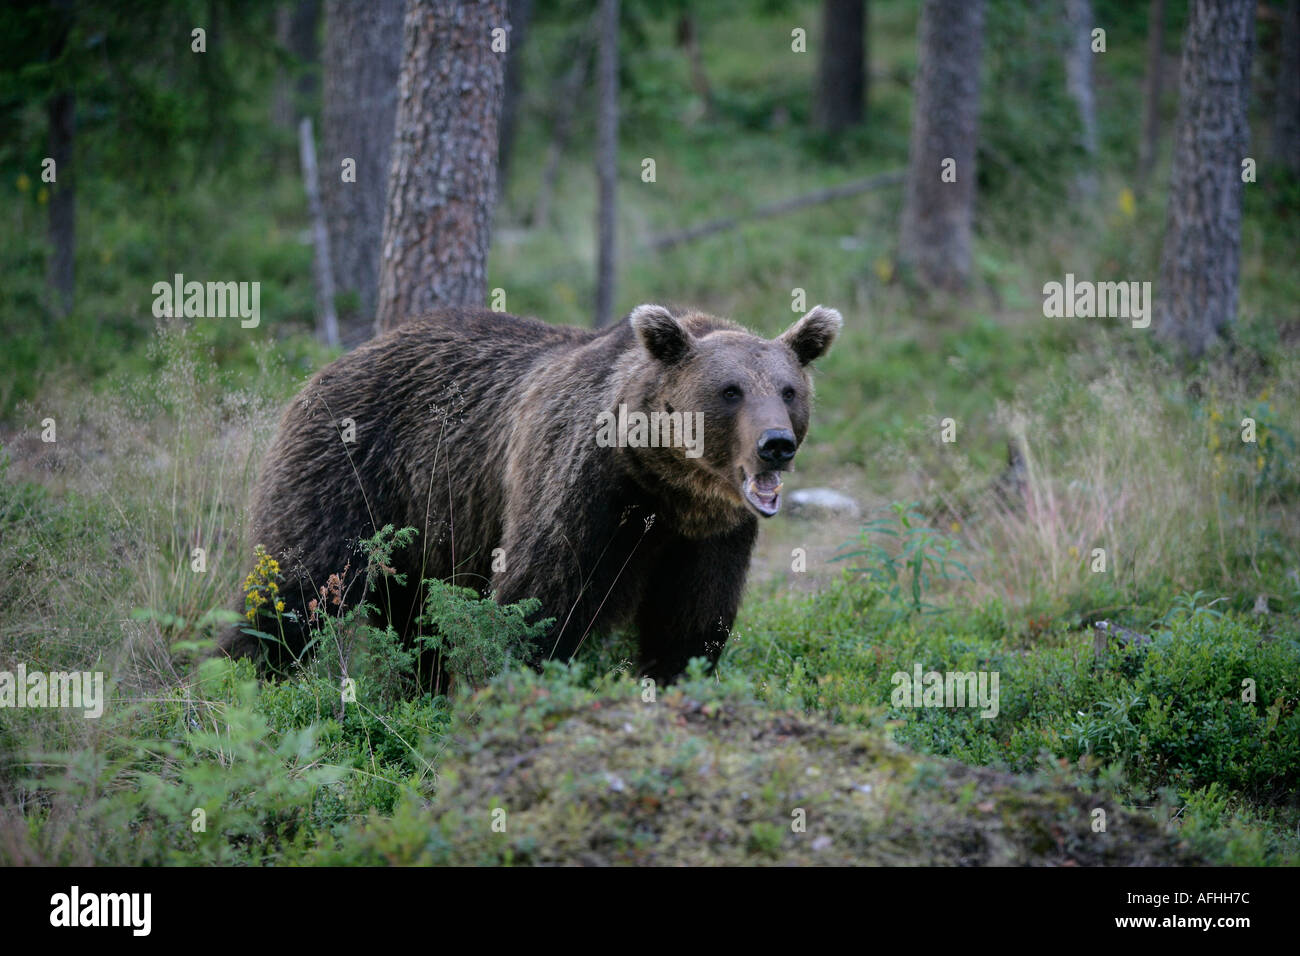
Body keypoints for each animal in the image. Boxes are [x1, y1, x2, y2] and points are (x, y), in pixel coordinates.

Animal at [219, 303, 841, 687]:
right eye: (730, 390)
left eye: (789, 390)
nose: (775, 444)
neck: (665, 489)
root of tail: (336, 362)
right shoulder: (581, 488)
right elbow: (537, 600)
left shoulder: (712, 536)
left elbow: (691, 623)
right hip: (353, 470)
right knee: (297, 587)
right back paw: (250, 675)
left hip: (424, 530)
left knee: (413, 620)